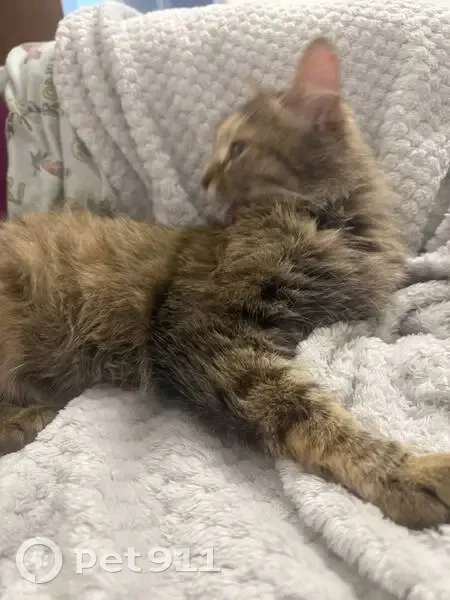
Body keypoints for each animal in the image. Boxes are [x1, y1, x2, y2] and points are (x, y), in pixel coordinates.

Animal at [0, 38, 449, 530]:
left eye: (237, 148)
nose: (204, 178)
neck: (327, 222)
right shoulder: (205, 330)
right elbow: (304, 410)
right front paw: (406, 472)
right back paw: (30, 418)